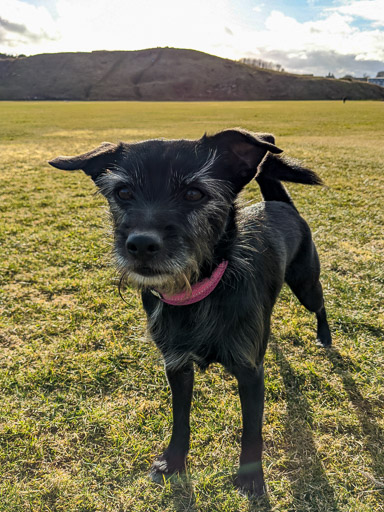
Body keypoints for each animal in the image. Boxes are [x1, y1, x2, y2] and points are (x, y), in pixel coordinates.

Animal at [49, 128, 332, 496]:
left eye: (194, 193)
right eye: (123, 192)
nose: (141, 245)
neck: (198, 293)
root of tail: (280, 203)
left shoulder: (250, 373)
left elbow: (251, 429)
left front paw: (251, 478)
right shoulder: (177, 366)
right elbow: (180, 419)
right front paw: (173, 463)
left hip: (305, 284)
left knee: (321, 304)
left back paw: (324, 336)